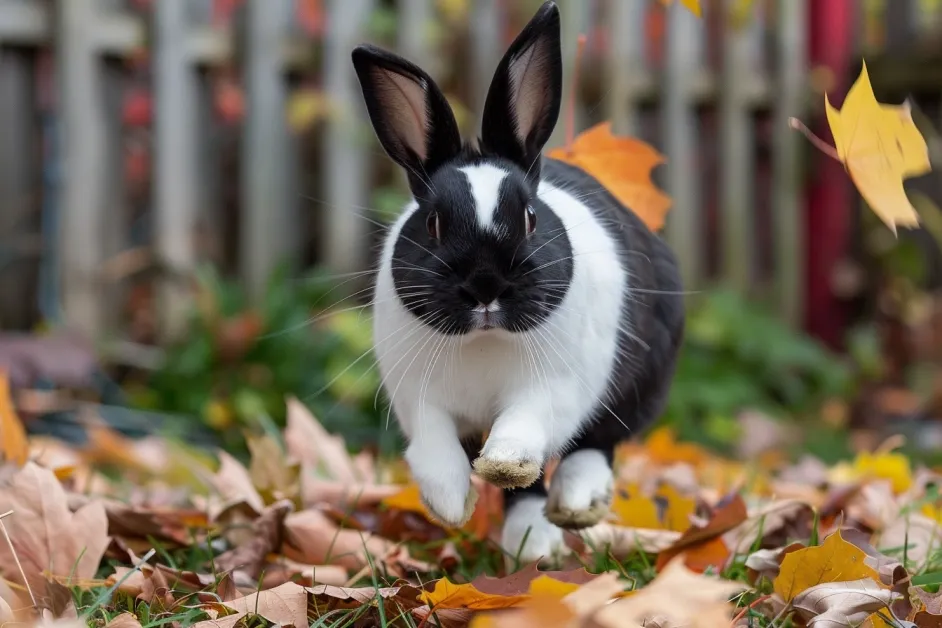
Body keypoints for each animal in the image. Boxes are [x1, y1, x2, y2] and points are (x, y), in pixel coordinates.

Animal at [354, 1, 684, 564]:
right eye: (434, 223)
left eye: (530, 217)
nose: (486, 286)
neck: (485, 341)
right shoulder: (419, 397)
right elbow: (435, 446)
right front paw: (449, 502)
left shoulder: (554, 388)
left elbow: (526, 428)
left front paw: (505, 463)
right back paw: (532, 542)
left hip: (641, 379)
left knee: (597, 442)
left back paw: (569, 509)